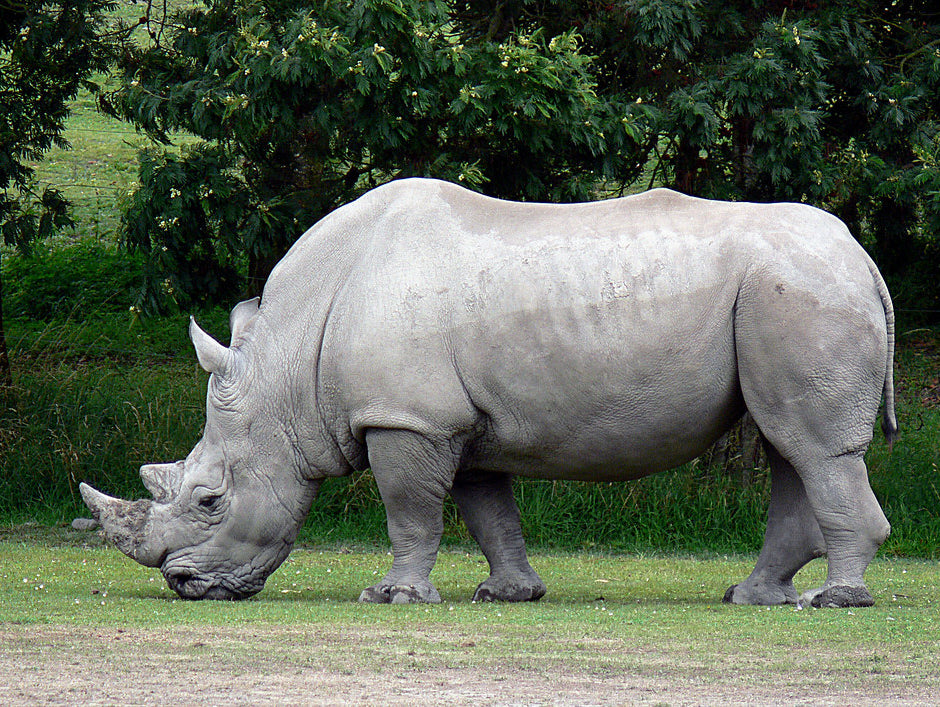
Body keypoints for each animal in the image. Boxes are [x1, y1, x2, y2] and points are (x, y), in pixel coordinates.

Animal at [81, 178, 897, 608]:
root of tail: (862, 255)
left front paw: (392, 597)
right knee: (790, 446)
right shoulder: (457, 422)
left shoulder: (407, 417)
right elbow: (486, 510)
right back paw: (753, 598)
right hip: (790, 293)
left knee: (812, 448)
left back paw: (835, 602)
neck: (288, 365)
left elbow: (409, 510)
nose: (184, 584)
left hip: (801, 294)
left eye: (209, 499)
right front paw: (509, 594)